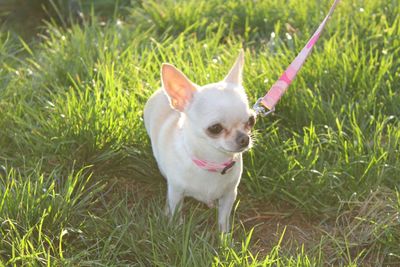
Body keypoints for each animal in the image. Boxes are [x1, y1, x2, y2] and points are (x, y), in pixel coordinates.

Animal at [145, 50, 256, 232]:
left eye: (251, 121)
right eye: (215, 128)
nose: (244, 139)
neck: (212, 162)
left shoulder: (230, 194)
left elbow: (223, 218)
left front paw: (224, 236)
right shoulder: (176, 192)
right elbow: (176, 212)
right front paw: (175, 230)